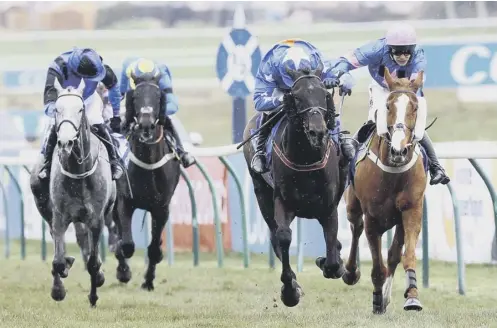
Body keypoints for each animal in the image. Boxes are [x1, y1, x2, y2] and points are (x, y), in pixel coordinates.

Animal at [30, 79, 116, 308]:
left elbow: (93, 262)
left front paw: (94, 295)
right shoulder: (60, 216)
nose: (66, 142)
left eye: (80, 109)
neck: (78, 174)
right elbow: (58, 261)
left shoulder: (96, 218)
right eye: (57, 110)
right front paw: (58, 289)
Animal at [112, 73, 180, 290]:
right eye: (135, 97)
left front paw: (148, 281)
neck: (148, 165)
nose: (145, 124)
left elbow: (153, 248)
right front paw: (124, 271)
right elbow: (126, 245)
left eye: (158, 97)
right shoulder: (125, 201)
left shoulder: (162, 207)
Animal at [242, 64, 346, 308]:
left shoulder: (328, 207)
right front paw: (290, 290)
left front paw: (331, 262)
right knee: (274, 236)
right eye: (297, 97)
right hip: (261, 192)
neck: (307, 159)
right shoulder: (283, 201)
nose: (318, 131)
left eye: (324, 94)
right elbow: (283, 237)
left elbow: (332, 249)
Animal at [340, 67, 426, 316]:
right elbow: (377, 266)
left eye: (414, 107)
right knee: (356, 228)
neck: (394, 171)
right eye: (388, 106)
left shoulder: (411, 210)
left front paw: (412, 296)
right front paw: (377, 300)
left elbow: (405, 256)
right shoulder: (373, 217)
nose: (399, 150)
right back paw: (350, 272)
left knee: (393, 254)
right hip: (352, 206)